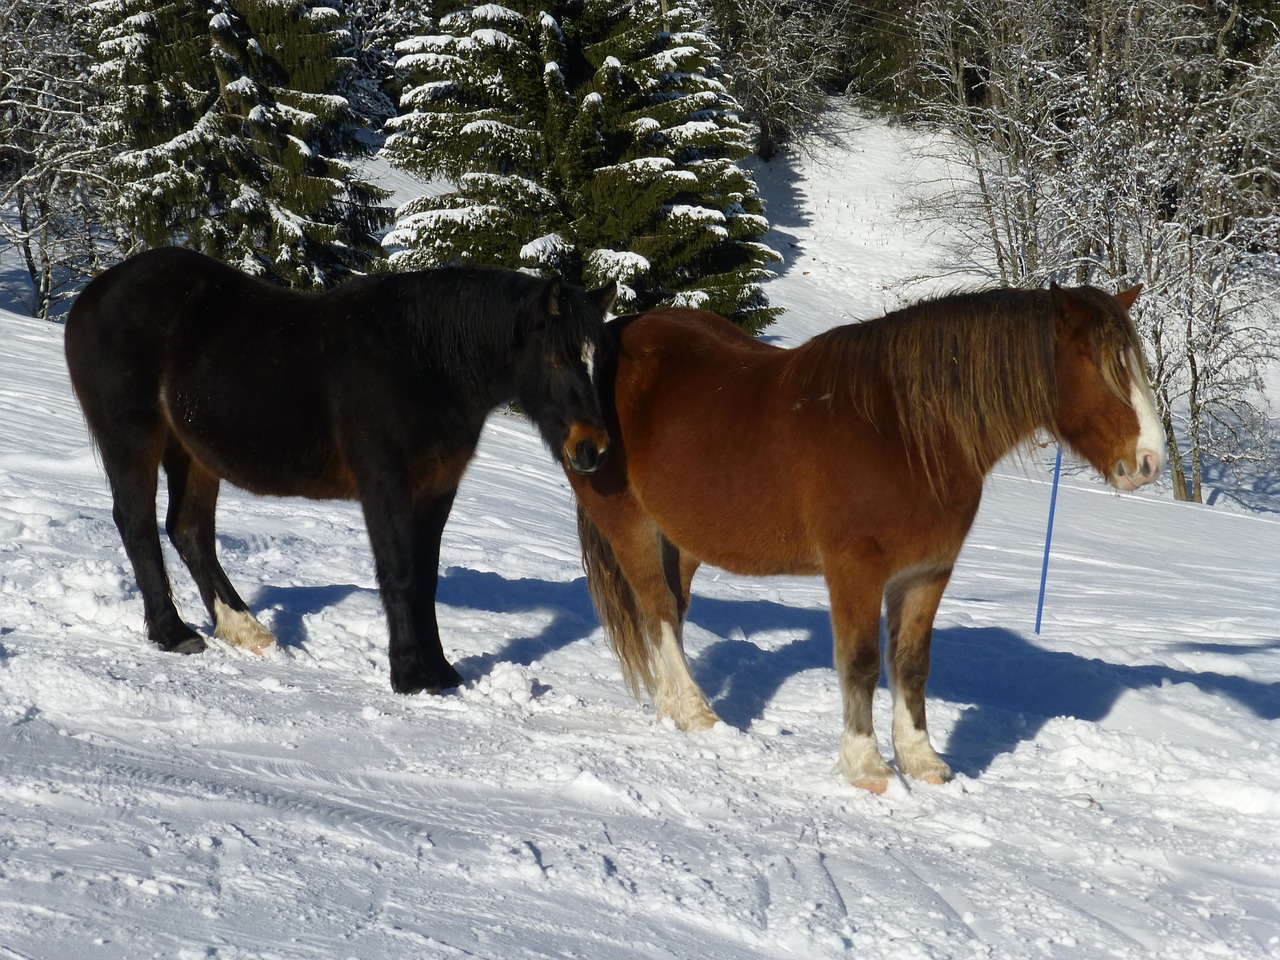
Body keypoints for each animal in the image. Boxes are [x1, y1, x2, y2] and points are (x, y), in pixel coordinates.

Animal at [64, 245, 614, 701]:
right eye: (557, 357)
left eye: (599, 361)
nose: (592, 449)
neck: (423, 364)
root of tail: (94, 291)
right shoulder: (385, 485)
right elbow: (400, 575)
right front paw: (410, 676)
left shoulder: (436, 491)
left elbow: (426, 580)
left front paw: (441, 671)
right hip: (133, 438)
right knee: (139, 526)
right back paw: (173, 632)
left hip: (193, 453)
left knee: (188, 531)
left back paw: (244, 629)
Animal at [568, 285, 1162, 798]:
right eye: (1104, 368)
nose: (1150, 462)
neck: (904, 430)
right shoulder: (855, 568)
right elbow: (860, 662)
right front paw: (867, 766)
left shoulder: (926, 572)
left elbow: (911, 664)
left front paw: (922, 760)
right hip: (630, 526)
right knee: (658, 610)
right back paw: (696, 713)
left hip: (681, 540)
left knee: (665, 614)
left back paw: (671, 709)